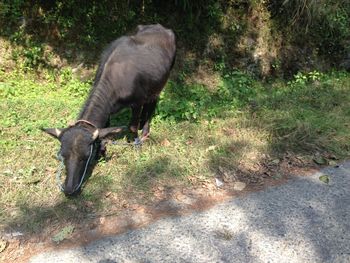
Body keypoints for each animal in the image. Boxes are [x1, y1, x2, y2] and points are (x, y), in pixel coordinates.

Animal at [42, 24, 176, 197]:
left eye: (85, 157)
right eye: (62, 156)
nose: (70, 189)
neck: (116, 80)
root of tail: (162, 27)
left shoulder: (137, 102)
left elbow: (132, 126)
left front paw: (137, 145)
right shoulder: (108, 111)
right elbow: (104, 128)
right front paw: (102, 150)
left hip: (161, 83)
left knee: (152, 104)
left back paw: (145, 131)